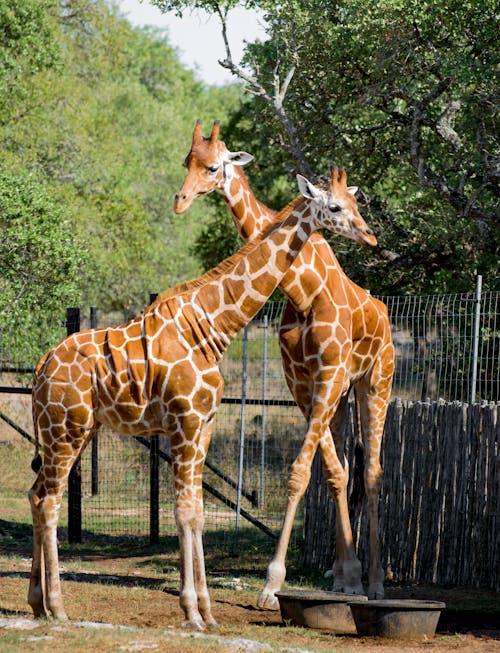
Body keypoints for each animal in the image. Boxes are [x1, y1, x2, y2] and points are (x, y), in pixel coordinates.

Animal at [27, 171, 376, 628]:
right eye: (334, 207)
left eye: (356, 204)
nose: (370, 235)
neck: (213, 325)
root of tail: (39, 369)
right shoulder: (186, 422)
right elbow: (185, 511)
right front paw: (191, 610)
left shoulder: (203, 426)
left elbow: (196, 511)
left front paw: (206, 612)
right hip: (65, 429)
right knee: (50, 501)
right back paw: (58, 607)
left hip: (73, 431)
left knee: (36, 496)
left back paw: (36, 603)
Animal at [174, 122, 396, 608]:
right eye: (189, 162)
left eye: (214, 166)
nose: (180, 201)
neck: (302, 289)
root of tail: (385, 317)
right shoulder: (303, 383)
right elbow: (325, 471)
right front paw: (341, 575)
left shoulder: (329, 377)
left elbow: (298, 473)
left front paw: (272, 583)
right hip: (341, 397)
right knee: (344, 471)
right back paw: (348, 576)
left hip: (375, 382)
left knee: (373, 472)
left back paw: (375, 581)